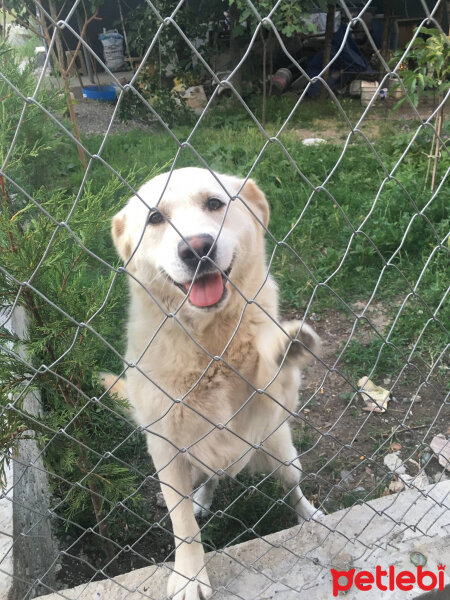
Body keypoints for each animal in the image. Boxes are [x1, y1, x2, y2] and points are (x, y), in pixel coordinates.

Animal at [100, 168, 322, 600]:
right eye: (155, 218)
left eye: (214, 203)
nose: (197, 248)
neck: (209, 345)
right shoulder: (167, 451)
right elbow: (183, 525)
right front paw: (190, 575)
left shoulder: (277, 403)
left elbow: (272, 370)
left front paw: (284, 346)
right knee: (204, 483)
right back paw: (203, 498)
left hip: (283, 456)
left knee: (292, 488)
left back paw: (309, 515)